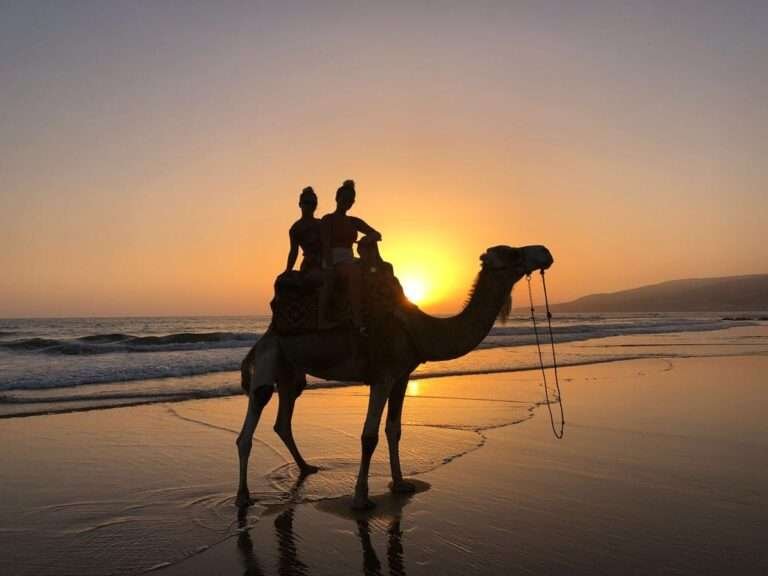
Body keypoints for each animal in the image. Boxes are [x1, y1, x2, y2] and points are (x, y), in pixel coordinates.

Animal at [234, 243, 552, 508]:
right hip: (270, 358)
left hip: (290, 371)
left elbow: (394, 429)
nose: (545, 252)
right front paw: (360, 498)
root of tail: (264, 337)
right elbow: (369, 436)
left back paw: (306, 468)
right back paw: (243, 496)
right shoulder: (382, 377)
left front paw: (400, 484)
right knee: (251, 420)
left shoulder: (401, 377)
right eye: (513, 253)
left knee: (283, 419)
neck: (419, 329)